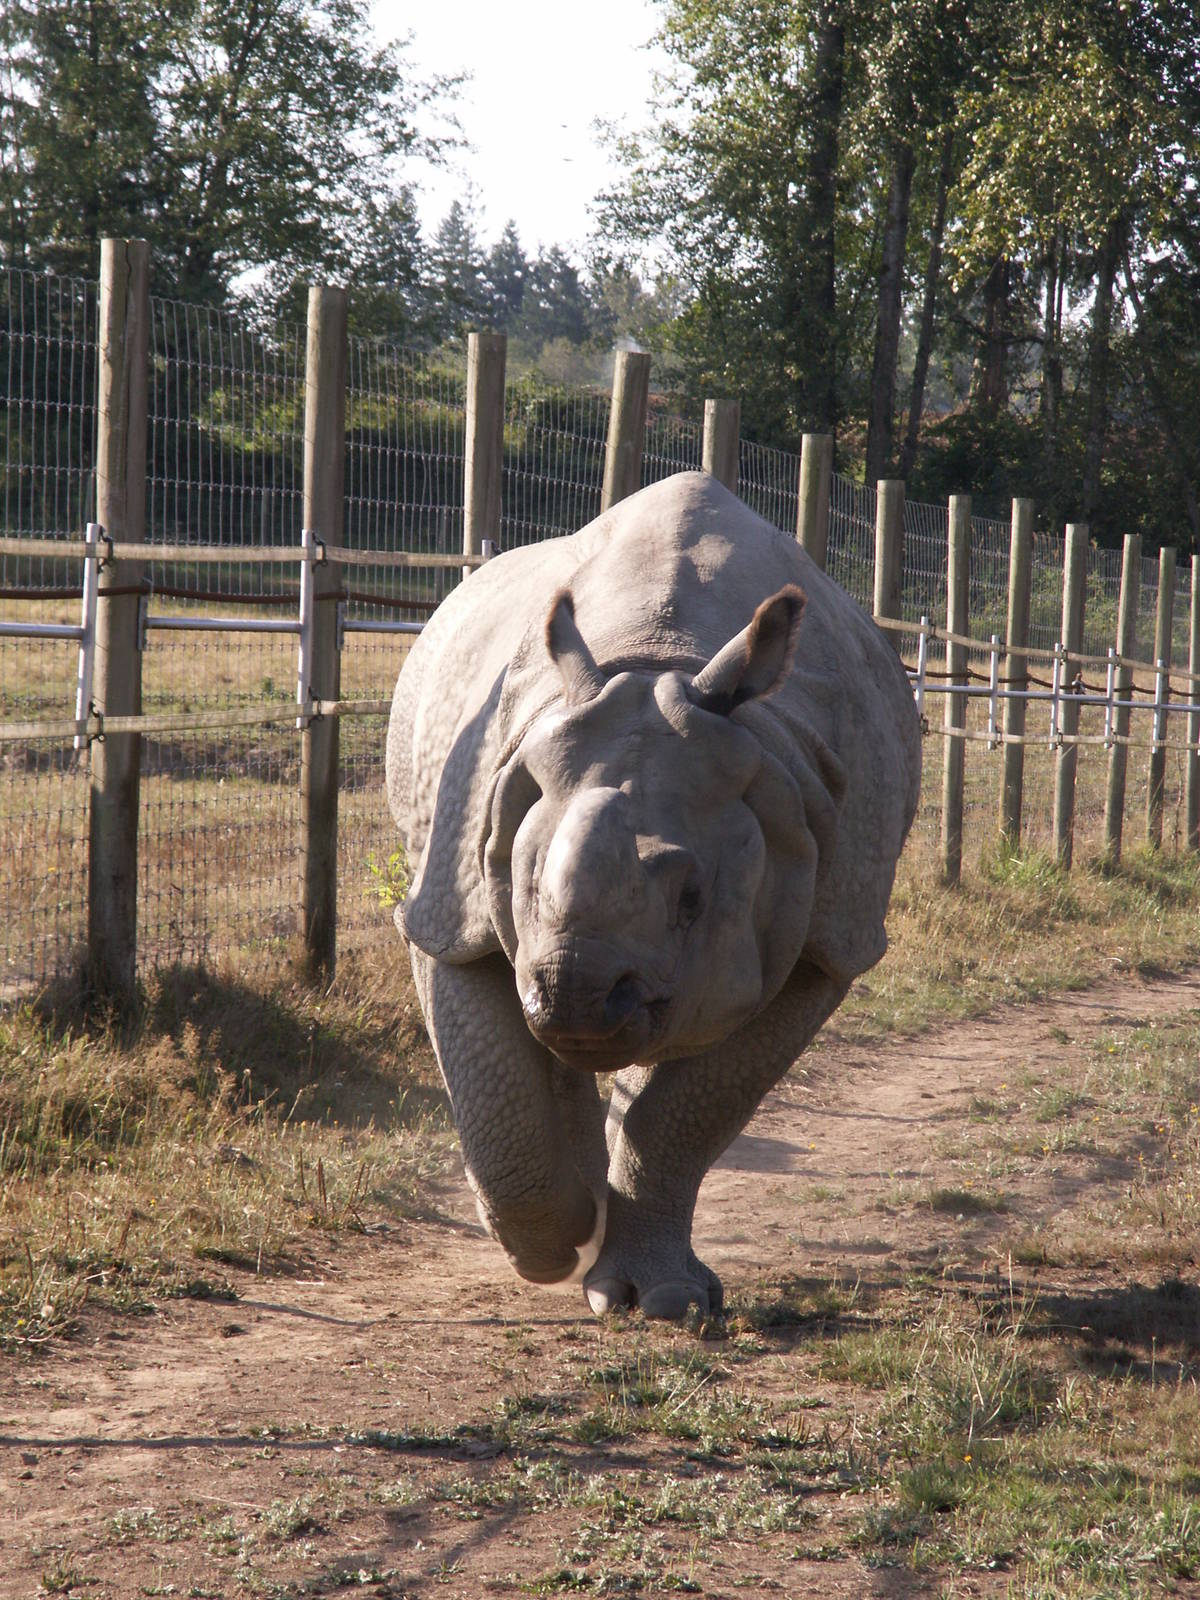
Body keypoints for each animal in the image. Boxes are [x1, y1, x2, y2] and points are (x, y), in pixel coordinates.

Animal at [386, 471, 921, 1318]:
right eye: (524, 878)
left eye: (693, 899)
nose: (574, 997)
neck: (656, 662)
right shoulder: (449, 904)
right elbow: (493, 1091)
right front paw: (555, 1243)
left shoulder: (829, 938)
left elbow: (686, 1113)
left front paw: (662, 1300)